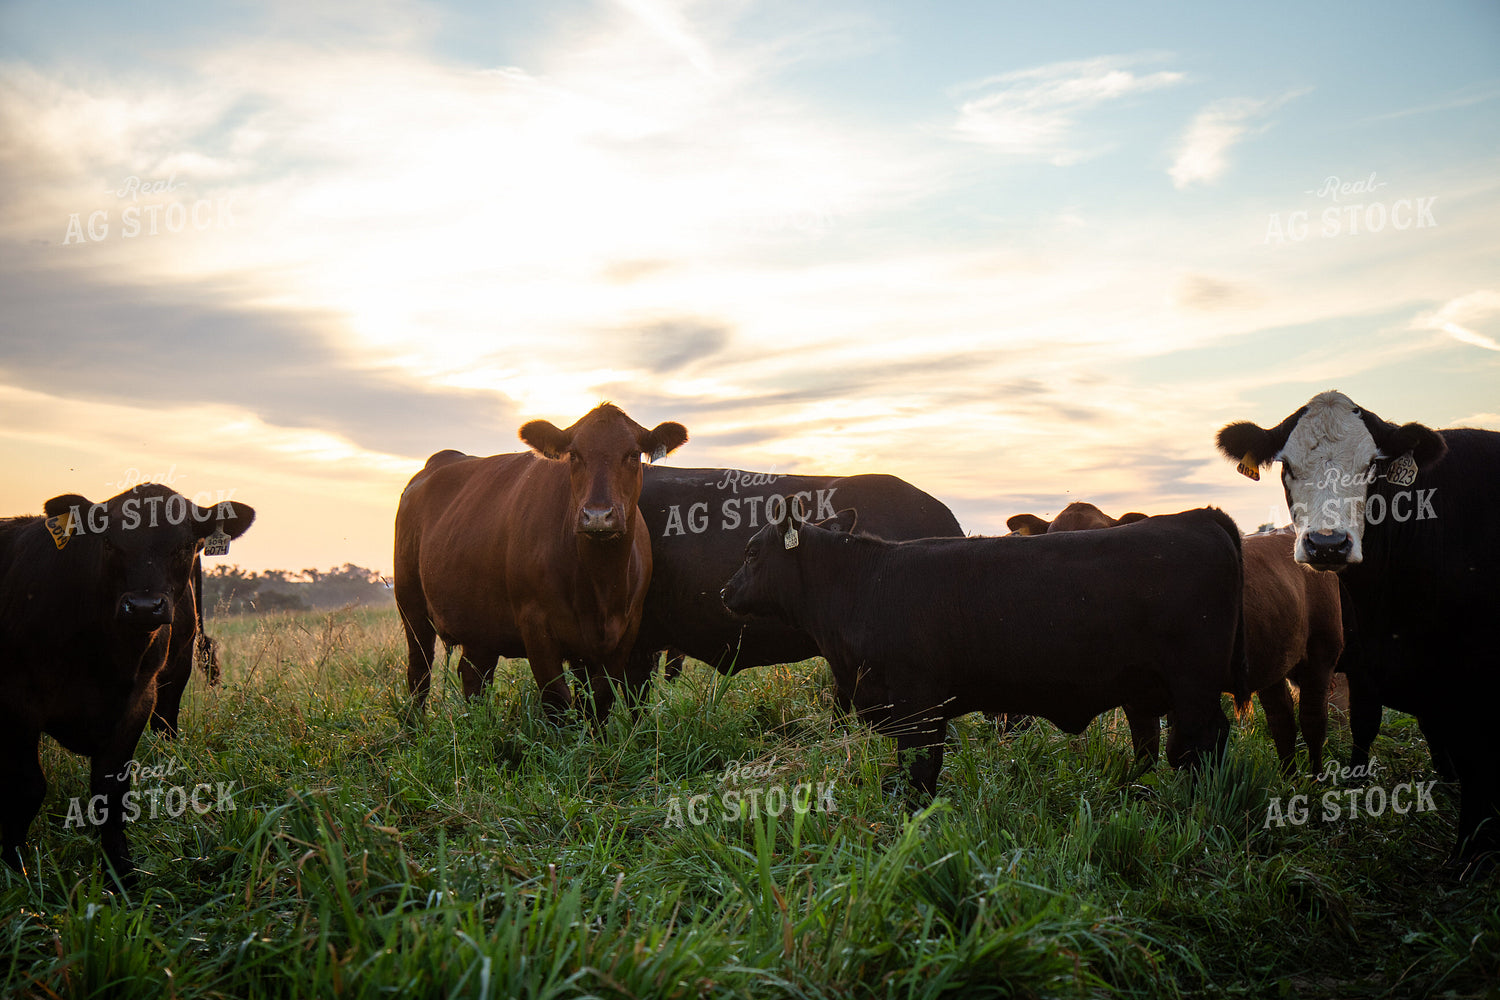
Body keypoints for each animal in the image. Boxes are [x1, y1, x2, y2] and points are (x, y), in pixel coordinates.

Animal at [0, 484, 255, 885]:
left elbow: (111, 791)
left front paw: (121, 874)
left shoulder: (137, 703)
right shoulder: (17, 700)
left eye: (185, 545)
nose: (144, 606)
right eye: (108, 541)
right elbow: (27, 787)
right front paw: (17, 870)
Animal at [395, 403, 688, 724]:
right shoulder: (536, 627)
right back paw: (414, 726)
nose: (598, 516)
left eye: (633, 454)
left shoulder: (625, 631)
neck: (600, 583)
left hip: (479, 624)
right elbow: (556, 700)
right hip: (411, 607)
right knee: (419, 672)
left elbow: (599, 700)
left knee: (474, 676)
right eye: (574, 455)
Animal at [721, 503, 1250, 797]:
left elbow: (918, 775)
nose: (725, 591)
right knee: (1177, 744)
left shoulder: (919, 708)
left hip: (1193, 685)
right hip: (1157, 690)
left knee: (1202, 744)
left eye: (751, 551)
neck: (865, 584)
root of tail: (1201, 518)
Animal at [1217, 389, 1500, 869]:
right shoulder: (1371, 664)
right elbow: (1366, 726)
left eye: (1371, 466)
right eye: (1287, 466)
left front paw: (1469, 857)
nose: (1327, 544)